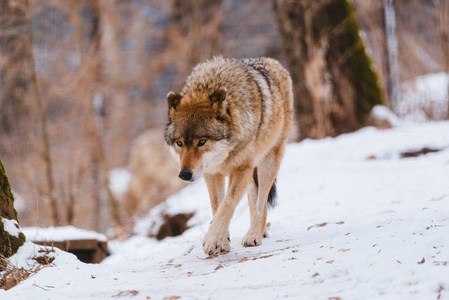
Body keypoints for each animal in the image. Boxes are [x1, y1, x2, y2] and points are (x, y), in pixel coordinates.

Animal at [163, 55, 292, 254]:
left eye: (202, 141)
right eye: (179, 143)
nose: (184, 175)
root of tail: (273, 62)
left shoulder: (241, 170)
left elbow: (227, 204)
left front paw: (213, 239)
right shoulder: (212, 173)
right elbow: (217, 206)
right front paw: (222, 242)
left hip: (268, 162)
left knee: (261, 203)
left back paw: (253, 235)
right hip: (252, 173)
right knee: (254, 199)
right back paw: (259, 232)